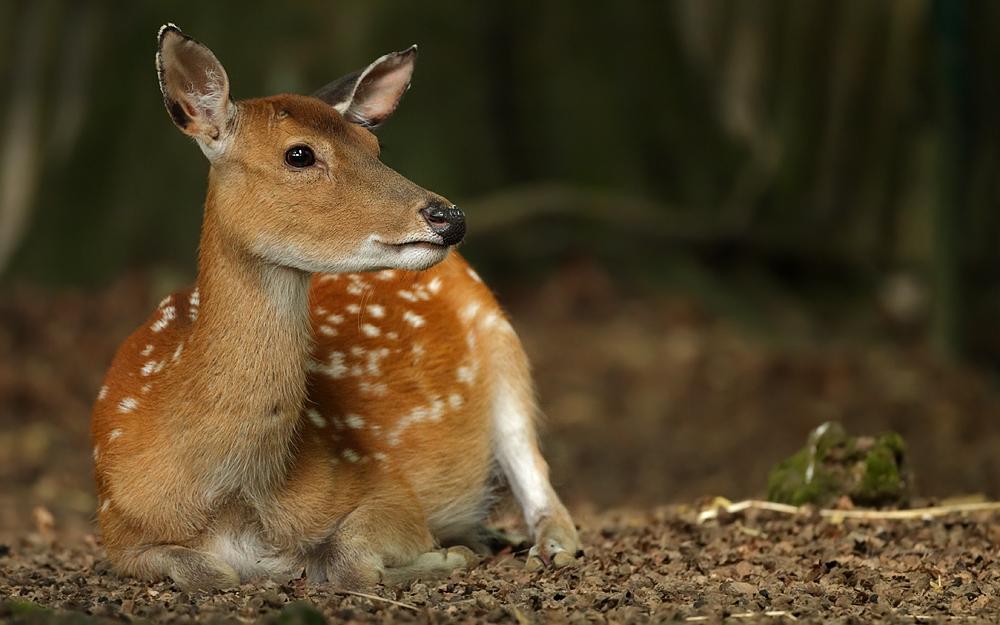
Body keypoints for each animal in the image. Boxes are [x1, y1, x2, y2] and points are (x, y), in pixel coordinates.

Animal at [92, 24, 584, 588]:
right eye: (299, 155)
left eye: (375, 145)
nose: (450, 217)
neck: (236, 497)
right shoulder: (117, 527)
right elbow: (206, 572)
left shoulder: (386, 487)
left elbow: (348, 557)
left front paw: (445, 556)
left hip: (506, 350)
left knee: (541, 481)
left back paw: (537, 546)